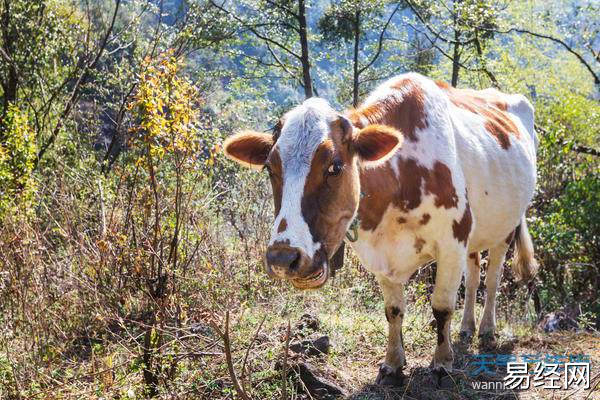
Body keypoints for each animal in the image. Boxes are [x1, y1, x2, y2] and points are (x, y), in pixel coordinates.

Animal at [221, 73, 540, 386]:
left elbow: (441, 306)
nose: (283, 258)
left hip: (507, 227)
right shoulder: (379, 254)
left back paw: (486, 330)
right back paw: (467, 328)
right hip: (478, 231)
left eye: (335, 166)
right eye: (270, 168)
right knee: (474, 276)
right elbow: (393, 311)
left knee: (492, 279)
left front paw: (442, 363)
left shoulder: (453, 241)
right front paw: (393, 365)